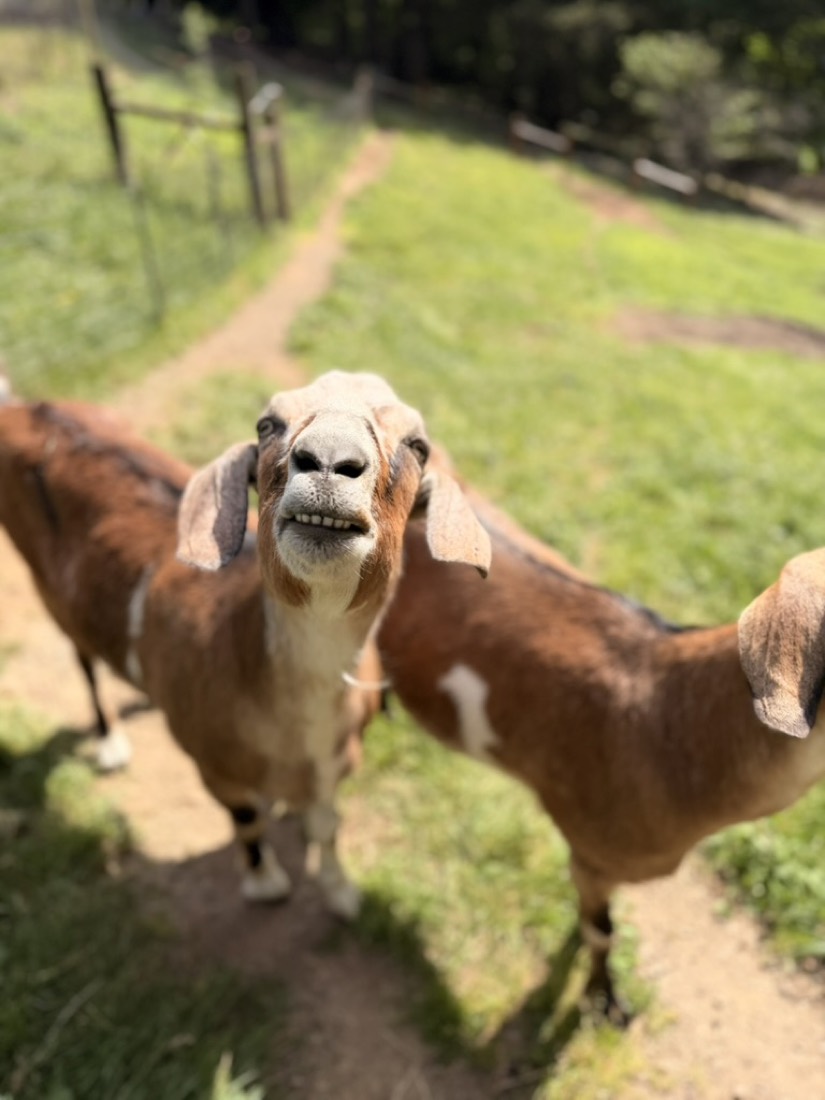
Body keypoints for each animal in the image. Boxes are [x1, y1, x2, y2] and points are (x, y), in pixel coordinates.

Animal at [0, 374, 490, 917]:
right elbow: (247, 817)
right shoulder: (215, 767)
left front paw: (341, 891)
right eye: (267, 424)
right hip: (42, 582)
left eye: (418, 445)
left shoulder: (337, 761)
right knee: (82, 655)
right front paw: (266, 881)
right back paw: (110, 743)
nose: (328, 459)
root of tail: (26, 407)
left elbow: (327, 823)